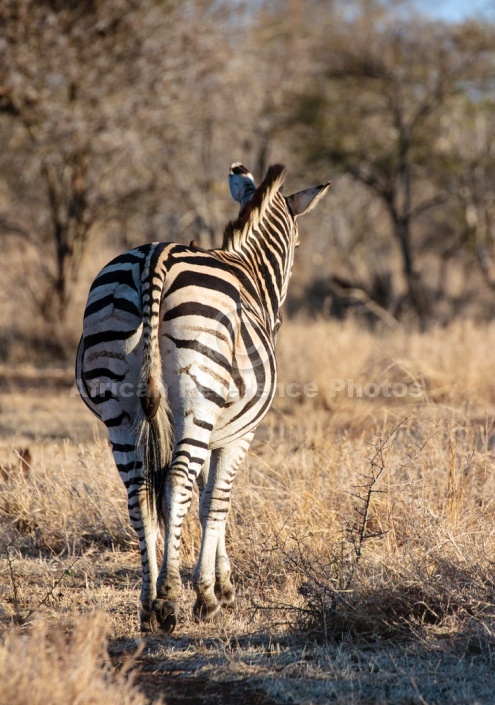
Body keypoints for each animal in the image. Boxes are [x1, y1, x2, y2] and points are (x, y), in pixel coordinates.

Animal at [75, 165, 332, 632]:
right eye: (299, 245)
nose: (279, 322)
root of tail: (153, 259)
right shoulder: (239, 433)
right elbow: (216, 502)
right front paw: (212, 594)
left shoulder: (210, 430)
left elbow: (198, 503)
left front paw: (216, 582)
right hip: (197, 399)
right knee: (175, 480)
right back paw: (169, 601)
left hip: (121, 408)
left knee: (139, 489)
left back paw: (147, 602)